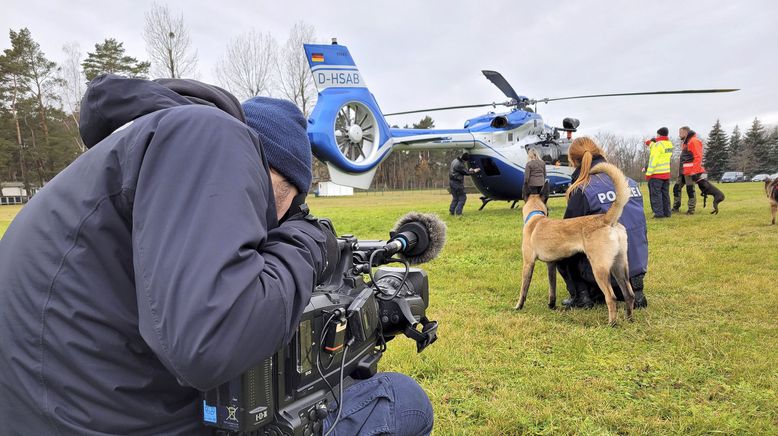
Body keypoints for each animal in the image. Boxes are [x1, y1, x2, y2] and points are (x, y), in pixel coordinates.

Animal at [512, 163, 632, 324]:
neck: (536, 217)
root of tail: (606, 219)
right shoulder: (551, 265)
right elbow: (552, 289)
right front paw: (551, 305)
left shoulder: (528, 263)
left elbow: (523, 290)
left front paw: (518, 306)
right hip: (619, 267)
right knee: (629, 294)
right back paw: (630, 319)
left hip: (599, 269)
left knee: (611, 297)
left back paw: (612, 324)